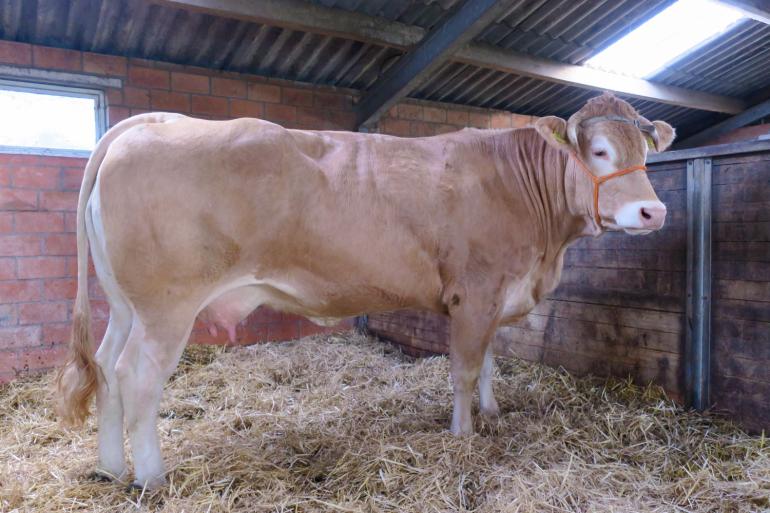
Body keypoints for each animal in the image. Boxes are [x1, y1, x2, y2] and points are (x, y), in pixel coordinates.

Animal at [55, 92, 674, 489]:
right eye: (599, 151)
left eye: (646, 153)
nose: (655, 212)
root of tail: (150, 124)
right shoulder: (474, 293)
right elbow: (464, 369)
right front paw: (462, 435)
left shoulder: (498, 293)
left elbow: (491, 364)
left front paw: (492, 413)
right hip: (166, 306)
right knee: (137, 375)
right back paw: (151, 478)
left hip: (126, 305)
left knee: (106, 367)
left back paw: (110, 468)